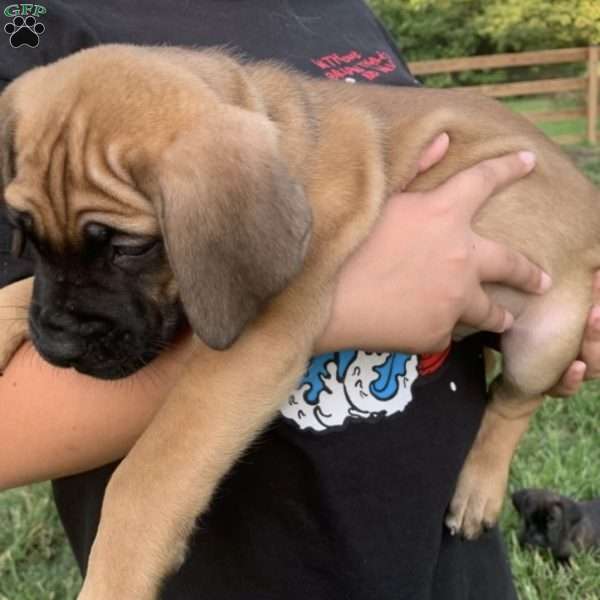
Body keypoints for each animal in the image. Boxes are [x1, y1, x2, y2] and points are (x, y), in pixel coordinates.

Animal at [2, 44, 596, 596]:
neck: (279, 129)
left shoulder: (255, 348)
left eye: (130, 249)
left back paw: (477, 488)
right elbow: (23, 289)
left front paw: (115, 579)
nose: (58, 346)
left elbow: (147, 475)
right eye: (28, 236)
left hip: (544, 337)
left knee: (511, 404)